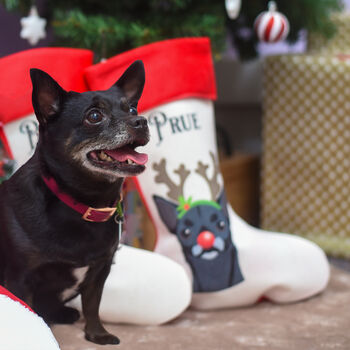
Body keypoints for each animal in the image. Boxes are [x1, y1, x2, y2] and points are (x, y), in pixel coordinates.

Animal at [0, 60, 149, 344]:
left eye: (132, 109)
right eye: (94, 116)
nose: (141, 121)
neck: (82, 204)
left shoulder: (100, 270)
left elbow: (92, 305)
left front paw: (97, 334)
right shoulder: (21, 280)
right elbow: (29, 313)